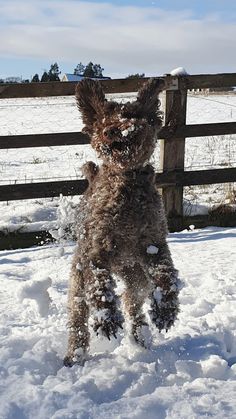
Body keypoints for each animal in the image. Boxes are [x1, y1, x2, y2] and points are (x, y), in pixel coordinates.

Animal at [63, 79, 180, 368]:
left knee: (132, 301)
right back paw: (74, 355)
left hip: (137, 278)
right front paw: (106, 319)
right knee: (79, 317)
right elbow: (100, 283)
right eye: (104, 119)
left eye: (132, 115)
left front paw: (165, 310)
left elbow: (166, 274)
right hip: (77, 283)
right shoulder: (96, 249)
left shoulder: (153, 242)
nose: (112, 131)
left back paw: (140, 336)